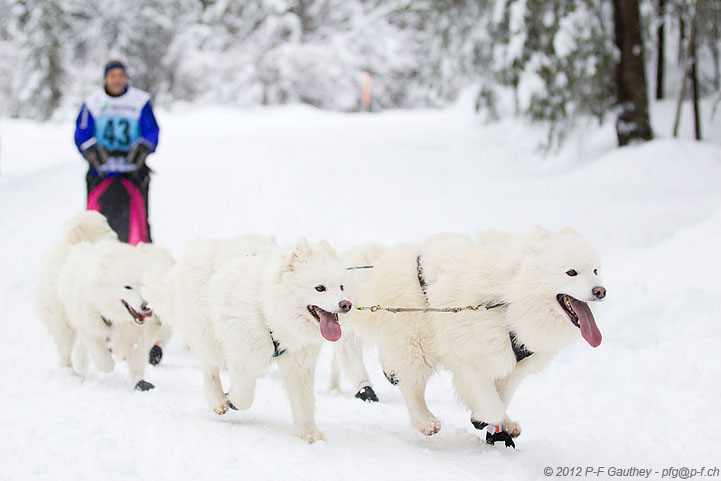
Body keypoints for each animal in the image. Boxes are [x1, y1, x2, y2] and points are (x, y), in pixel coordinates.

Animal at [143, 236, 352, 442]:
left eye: (342, 287)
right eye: (320, 288)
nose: (346, 304)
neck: (268, 313)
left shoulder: (299, 364)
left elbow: (304, 403)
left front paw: (309, 434)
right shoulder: (242, 354)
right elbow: (245, 396)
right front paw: (232, 400)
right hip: (206, 332)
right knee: (209, 367)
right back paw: (218, 400)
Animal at [346, 227, 604, 448]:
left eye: (595, 271)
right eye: (571, 272)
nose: (601, 291)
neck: (510, 298)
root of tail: (382, 262)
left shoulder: (513, 367)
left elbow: (502, 397)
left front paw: (500, 427)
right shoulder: (470, 359)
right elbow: (491, 404)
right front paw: (483, 419)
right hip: (415, 341)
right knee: (412, 385)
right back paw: (425, 420)